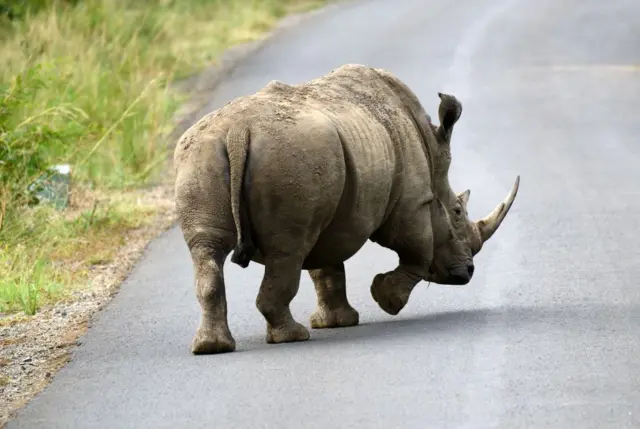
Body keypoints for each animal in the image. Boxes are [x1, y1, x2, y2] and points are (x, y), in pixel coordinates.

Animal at [172, 62, 516, 352]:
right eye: (457, 212)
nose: (468, 272)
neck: (432, 154)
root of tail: (237, 131)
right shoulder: (413, 202)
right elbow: (418, 253)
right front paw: (386, 300)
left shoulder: (332, 211)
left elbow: (326, 267)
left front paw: (337, 322)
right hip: (288, 159)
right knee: (287, 251)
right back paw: (293, 337)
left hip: (203, 155)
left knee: (208, 248)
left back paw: (211, 347)